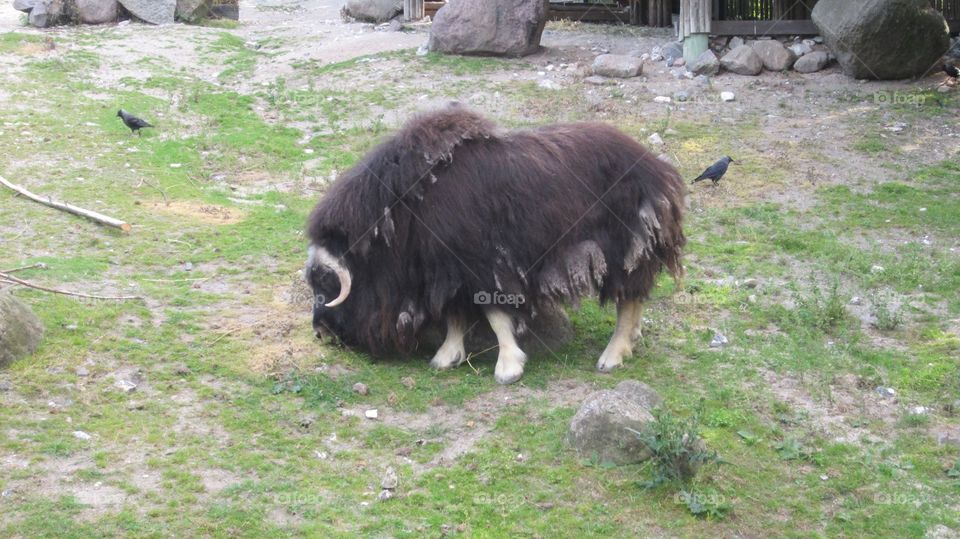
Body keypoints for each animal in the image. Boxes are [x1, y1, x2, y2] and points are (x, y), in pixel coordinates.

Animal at [306, 104, 685, 384]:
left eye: (327, 285)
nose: (321, 332)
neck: (405, 210)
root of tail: (657, 167)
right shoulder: (447, 272)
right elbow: (455, 315)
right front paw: (445, 357)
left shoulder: (484, 268)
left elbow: (496, 315)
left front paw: (508, 368)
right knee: (634, 299)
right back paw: (632, 340)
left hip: (626, 250)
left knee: (628, 300)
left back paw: (611, 357)